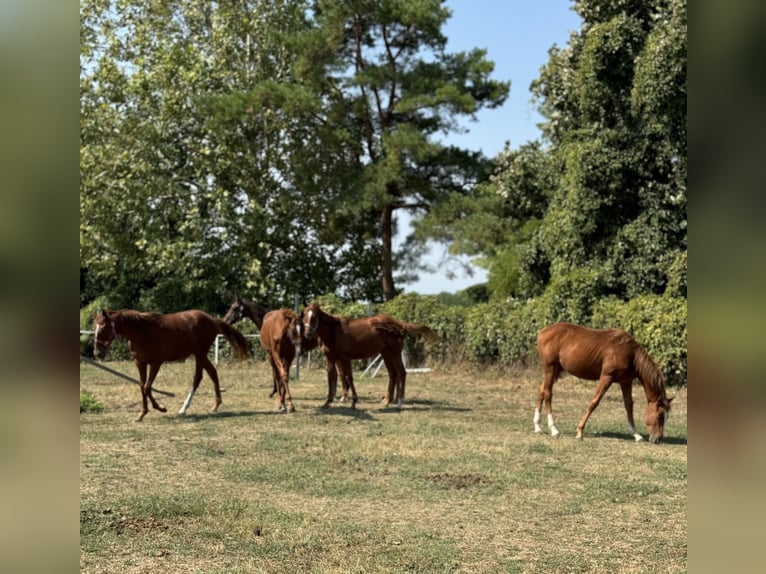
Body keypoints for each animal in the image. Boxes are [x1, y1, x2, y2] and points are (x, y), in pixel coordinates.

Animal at [92, 310, 249, 424]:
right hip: (200, 355)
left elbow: (147, 387)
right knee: (213, 373)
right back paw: (215, 406)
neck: (141, 330)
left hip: (200, 354)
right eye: (95, 327)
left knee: (197, 378)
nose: (97, 353)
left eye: (104, 327)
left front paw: (161, 408)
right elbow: (142, 387)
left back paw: (183, 409)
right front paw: (141, 414)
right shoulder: (140, 363)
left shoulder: (156, 363)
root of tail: (212, 319)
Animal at [304, 304, 440, 412]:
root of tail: (400, 325)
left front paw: (353, 402)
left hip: (395, 353)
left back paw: (400, 403)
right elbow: (331, 377)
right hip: (386, 353)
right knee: (393, 373)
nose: (307, 333)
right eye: (304, 315)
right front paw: (327, 402)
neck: (334, 331)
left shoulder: (344, 358)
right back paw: (387, 401)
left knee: (401, 373)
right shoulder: (330, 358)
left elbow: (348, 377)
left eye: (315, 316)